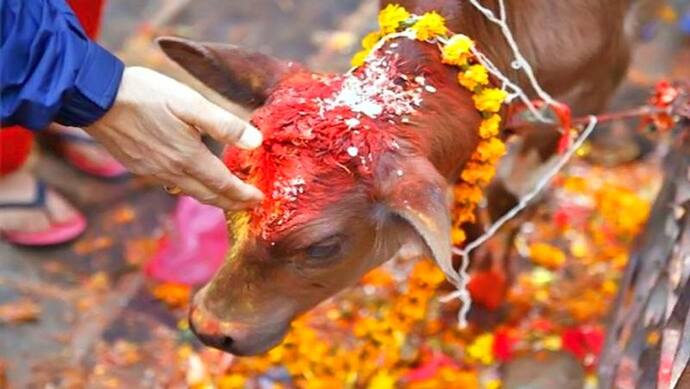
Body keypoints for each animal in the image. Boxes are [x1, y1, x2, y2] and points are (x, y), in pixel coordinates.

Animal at [159, 0, 648, 354]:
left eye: (322, 246)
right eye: (227, 205)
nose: (209, 328)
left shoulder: (593, 86)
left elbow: (509, 194)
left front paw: (487, 293)